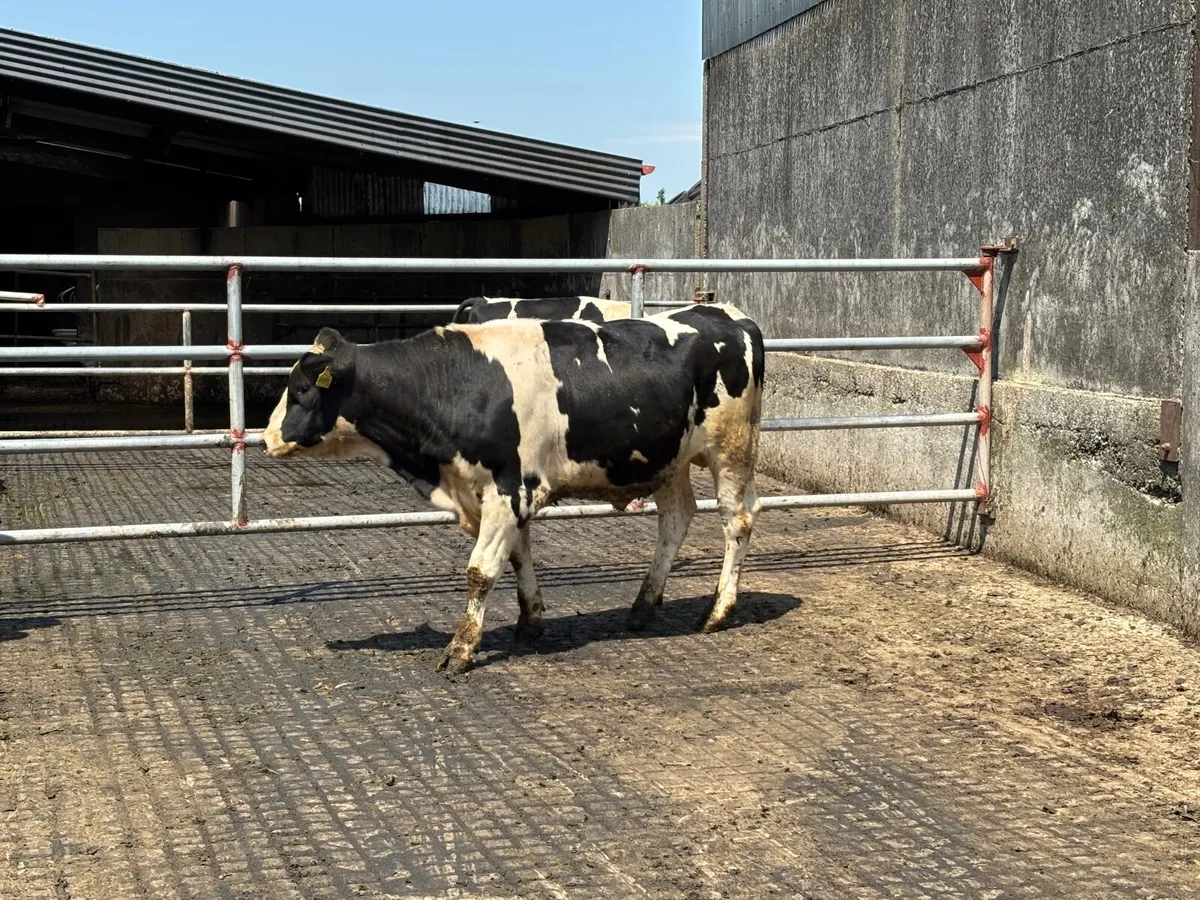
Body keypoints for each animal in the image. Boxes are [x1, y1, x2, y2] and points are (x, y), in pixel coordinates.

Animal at [262, 303, 765, 676]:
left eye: (303, 389)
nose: (266, 438)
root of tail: (729, 314)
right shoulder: (503, 493)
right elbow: (519, 556)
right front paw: (530, 619)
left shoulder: (507, 488)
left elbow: (481, 570)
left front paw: (461, 649)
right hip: (671, 459)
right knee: (676, 518)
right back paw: (643, 607)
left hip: (732, 449)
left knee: (737, 519)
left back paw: (717, 611)